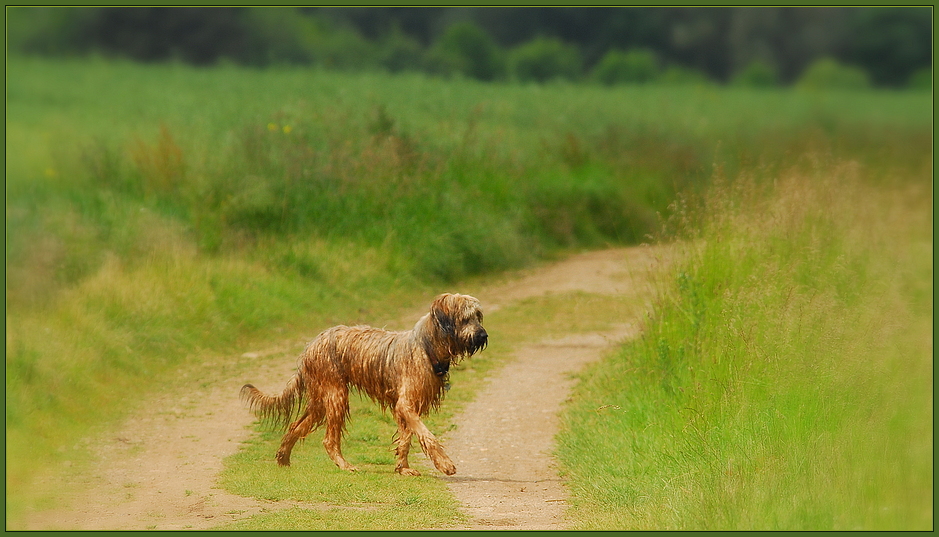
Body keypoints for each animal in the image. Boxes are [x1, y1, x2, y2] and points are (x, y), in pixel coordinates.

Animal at [239, 296, 488, 476]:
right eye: (466, 318)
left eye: (478, 316)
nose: (483, 335)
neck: (427, 348)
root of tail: (311, 345)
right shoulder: (406, 404)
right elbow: (427, 435)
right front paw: (445, 464)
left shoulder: (406, 407)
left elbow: (406, 439)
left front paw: (403, 468)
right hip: (336, 395)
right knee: (329, 440)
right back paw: (344, 465)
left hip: (320, 400)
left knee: (295, 426)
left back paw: (283, 457)